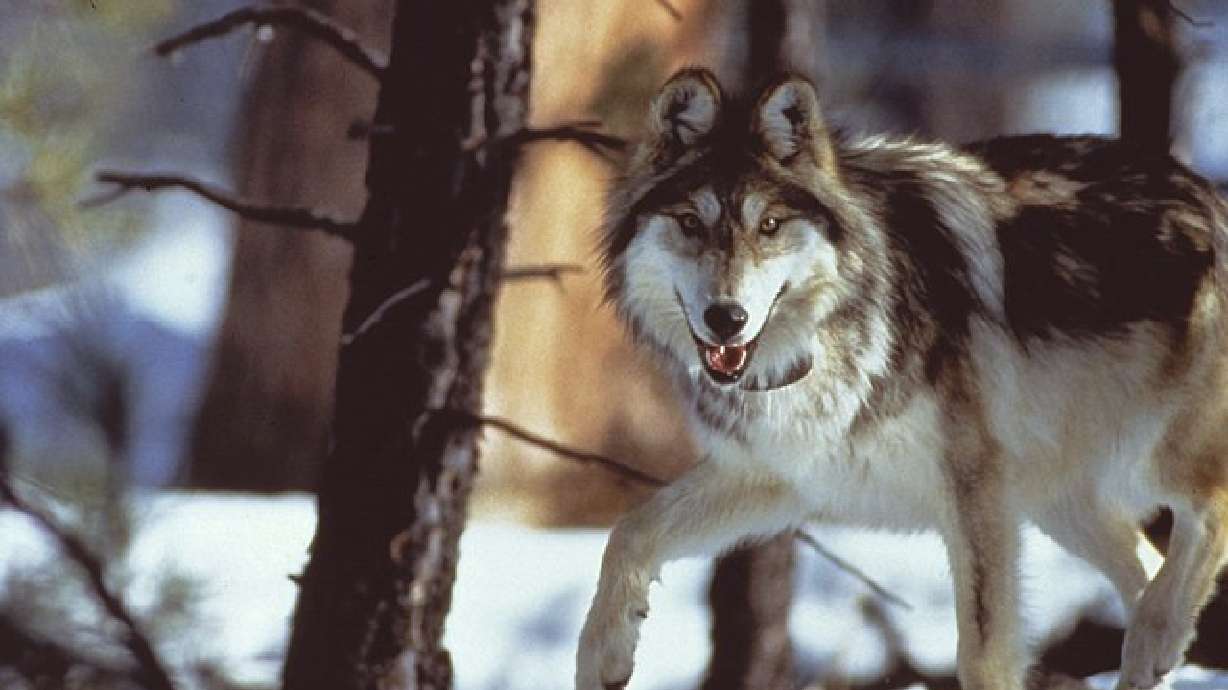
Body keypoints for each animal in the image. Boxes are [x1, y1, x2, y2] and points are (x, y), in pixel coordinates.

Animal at [576, 67, 1228, 690]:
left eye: (770, 224)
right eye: (690, 222)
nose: (726, 318)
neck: (825, 341)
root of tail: (1210, 193)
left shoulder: (975, 493)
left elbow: (984, 656)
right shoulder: (781, 476)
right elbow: (628, 531)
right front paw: (601, 657)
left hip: (1148, 460)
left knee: (1208, 514)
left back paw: (1153, 642)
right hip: (1059, 502)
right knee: (1147, 569)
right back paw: (1150, 655)